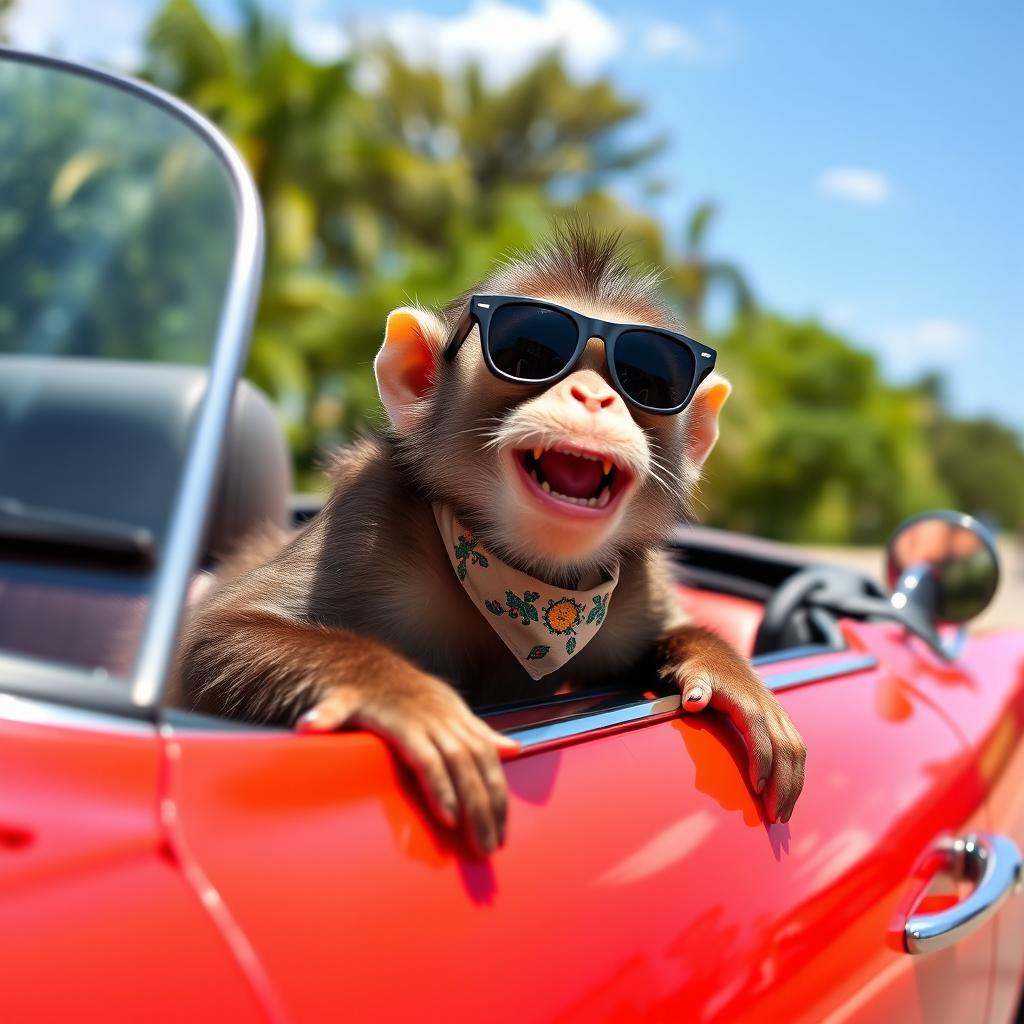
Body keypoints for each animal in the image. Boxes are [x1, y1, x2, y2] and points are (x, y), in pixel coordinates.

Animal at [174, 222, 807, 859]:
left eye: (646, 380)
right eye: (529, 355)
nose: (593, 397)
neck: (522, 581)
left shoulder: (636, 581)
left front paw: (731, 675)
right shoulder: (367, 520)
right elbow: (213, 638)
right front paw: (410, 700)